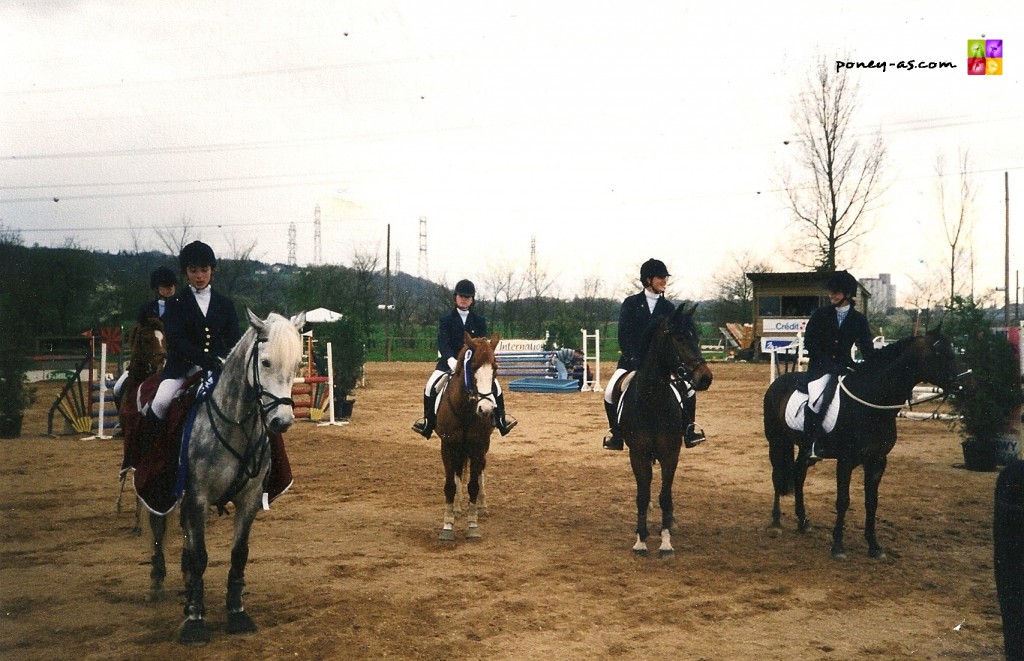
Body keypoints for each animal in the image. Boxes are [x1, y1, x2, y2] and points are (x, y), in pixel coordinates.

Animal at [145, 313, 303, 646]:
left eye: (298, 364)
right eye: (265, 362)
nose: (281, 422)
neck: (237, 425)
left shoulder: (249, 499)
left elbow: (238, 554)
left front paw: (237, 613)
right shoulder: (198, 497)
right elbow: (200, 557)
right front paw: (194, 622)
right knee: (158, 526)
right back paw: (157, 582)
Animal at [436, 331, 503, 544]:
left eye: (495, 368)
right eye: (472, 367)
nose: (486, 409)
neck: (466, 410)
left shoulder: (478, 446)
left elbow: (473, 485)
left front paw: (473, 526)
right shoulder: (448, 446)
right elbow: (449, 485)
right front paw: (447, 527)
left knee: (480, 470)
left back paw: (482, 507)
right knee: (458, 472)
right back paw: (457, 508)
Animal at [610, 309, 716, 556]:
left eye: (697, 337)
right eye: (679, 338)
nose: (705, 378)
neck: (652, 400)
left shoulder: (670, 454)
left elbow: (665, 496)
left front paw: (666, 540)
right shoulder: (638, 454)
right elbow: (642, 495)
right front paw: (640, 539)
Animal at [765, 325, 970, 560]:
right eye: (940, 354)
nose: (967, 384)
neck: (871, 401)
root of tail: (779, 382)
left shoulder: (877, 460)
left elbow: (872, 502)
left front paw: (874, 546)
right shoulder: (845, 461)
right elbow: (843, 501)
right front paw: (838, 546)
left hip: (805, 449)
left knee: (799, 474)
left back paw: (803, 521)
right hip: (776, 441)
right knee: (777, 476)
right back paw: (776, 522)